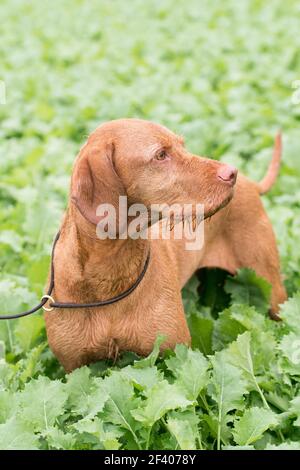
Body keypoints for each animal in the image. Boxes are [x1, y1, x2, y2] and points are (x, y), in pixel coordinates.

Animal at [44, 117, 286, 370]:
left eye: (182, 145)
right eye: (160, 155)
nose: (232, 173)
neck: (110, 273)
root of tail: (252, 183)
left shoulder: (173, 354)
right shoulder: (74, 366)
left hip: (271, 289)